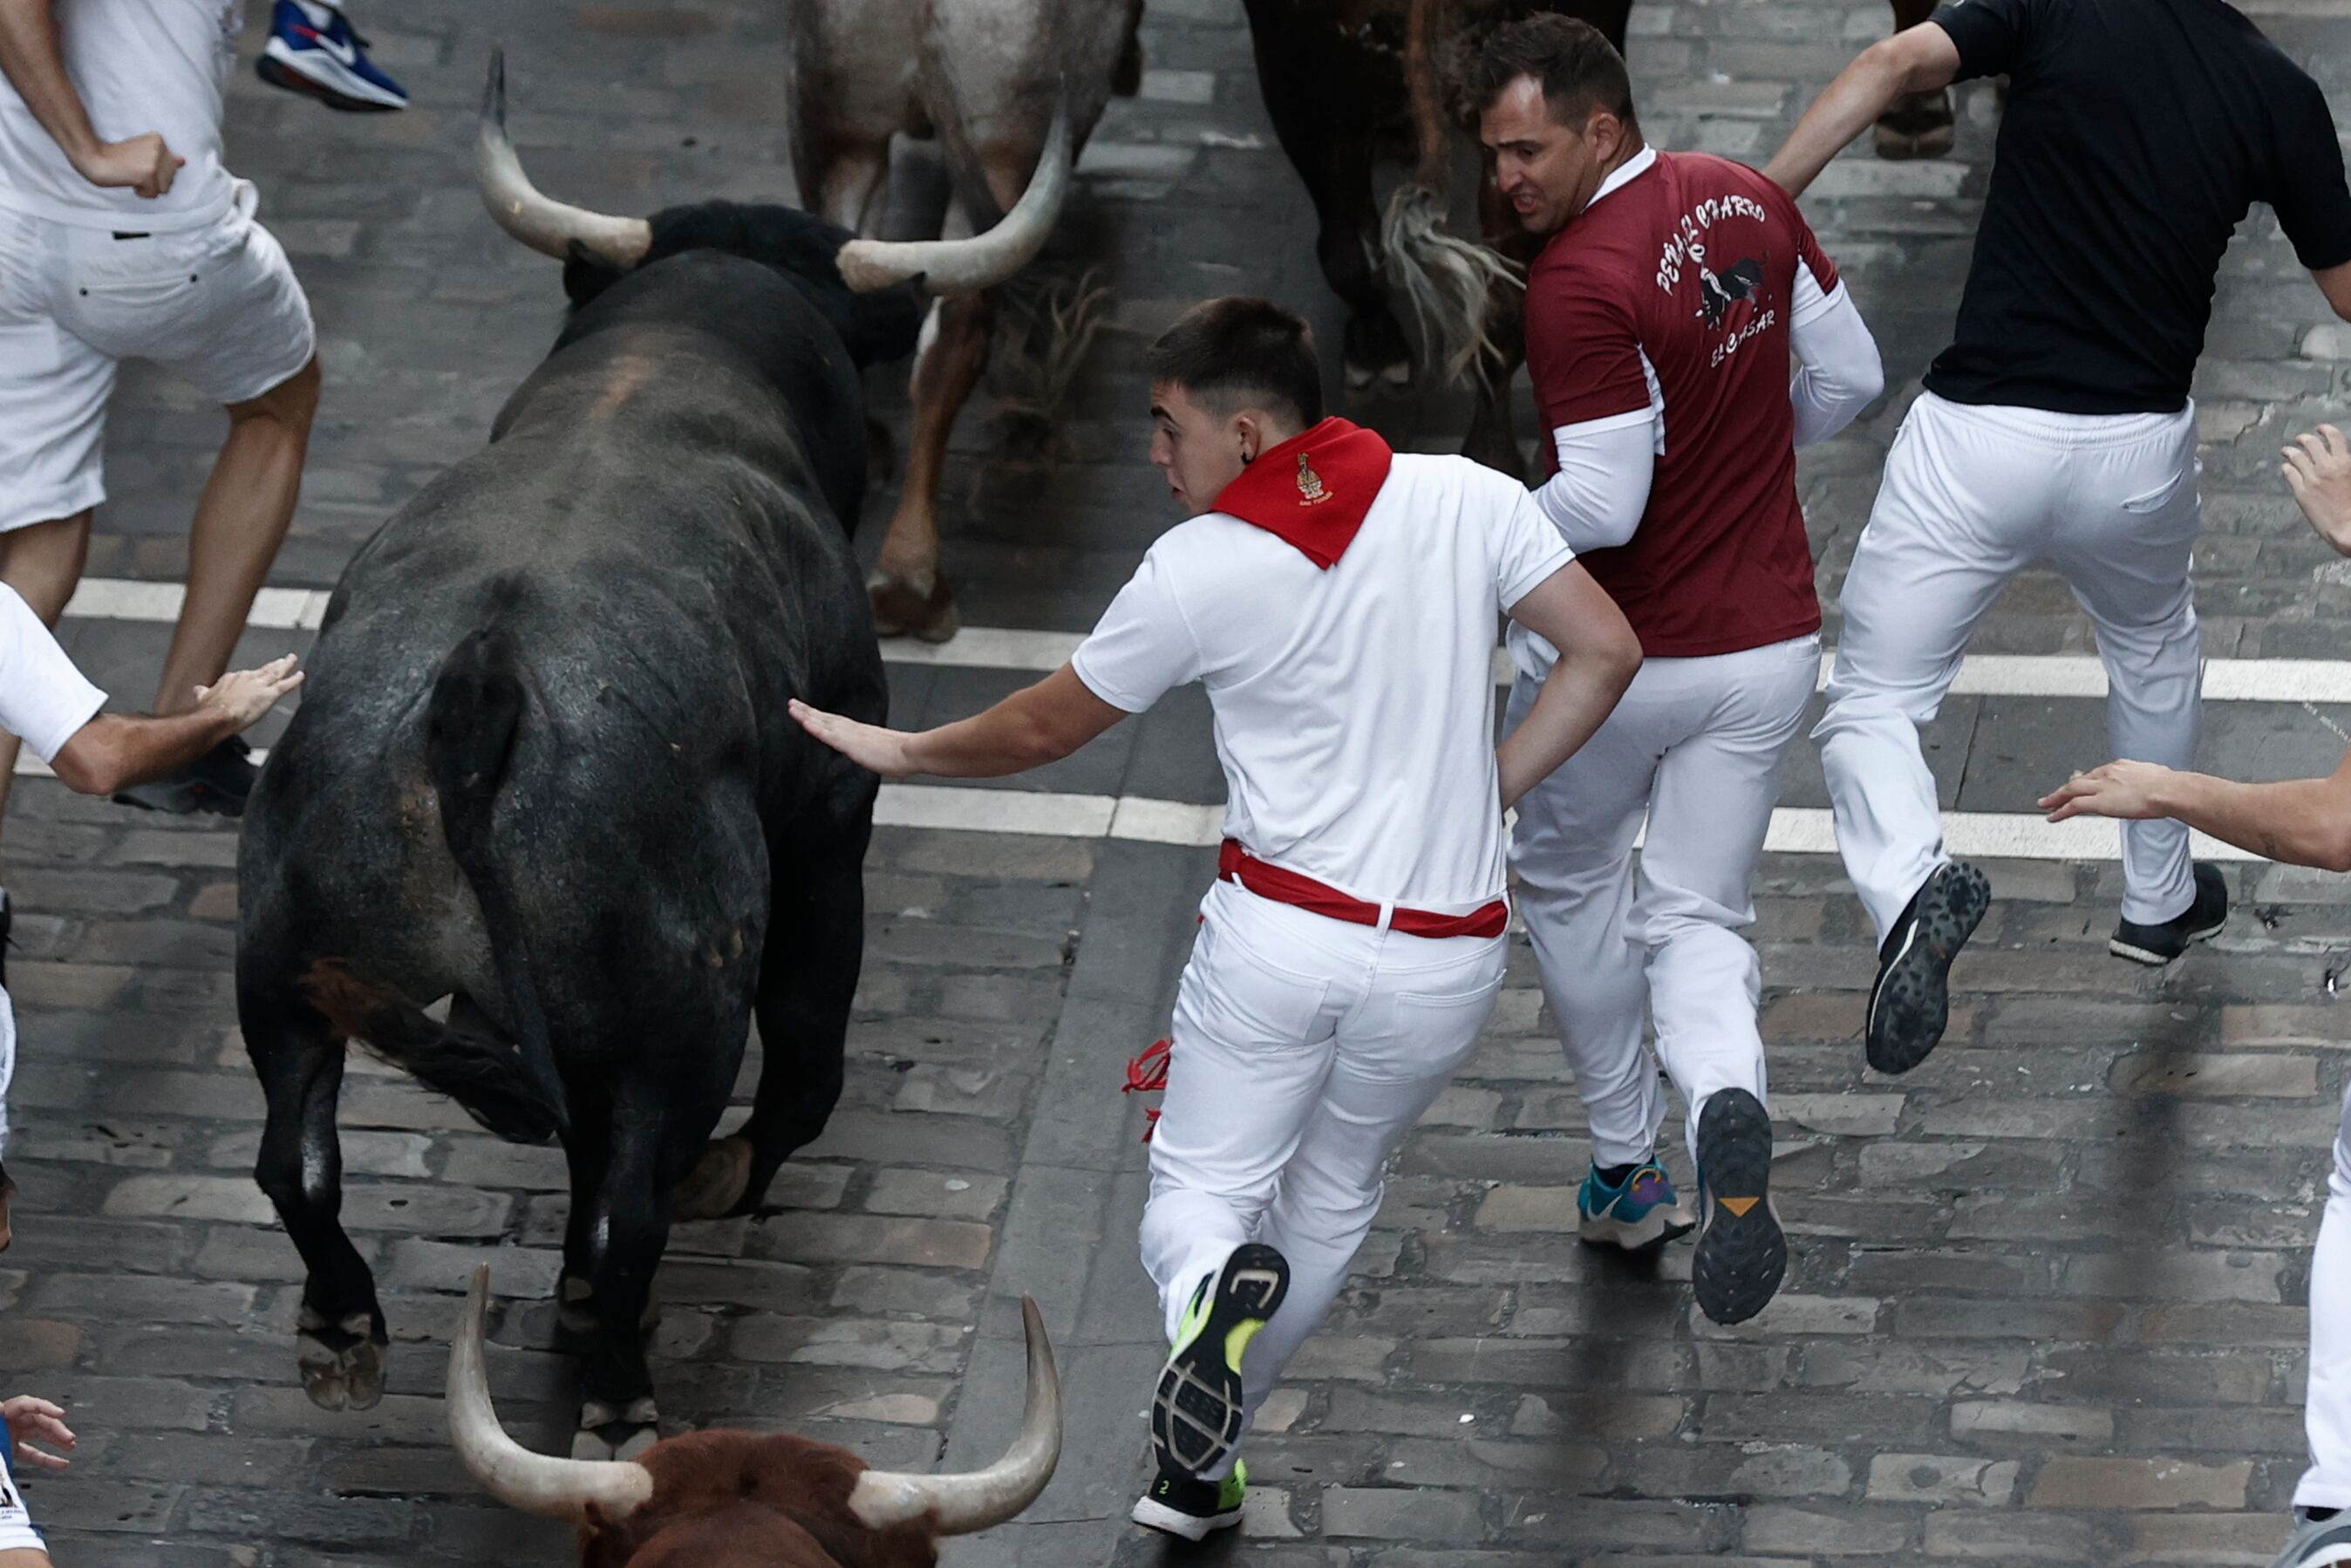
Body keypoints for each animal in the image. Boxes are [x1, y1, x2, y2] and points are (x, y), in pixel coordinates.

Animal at [235, 211, 917, 1457]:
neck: (674, 352)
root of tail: (482, 680)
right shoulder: (830, 823)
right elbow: (803, 1067)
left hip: (282, 966)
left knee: (296, 1164)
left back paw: (344, 1329)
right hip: (684, 1014)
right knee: (633, 1203)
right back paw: (619, 1397)